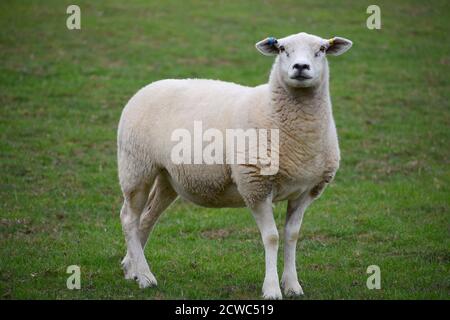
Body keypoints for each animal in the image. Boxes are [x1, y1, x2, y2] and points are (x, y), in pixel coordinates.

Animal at [118, 31, 354, 298]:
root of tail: (146, 88)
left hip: (168, 177)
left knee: (146, 218)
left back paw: (132, 269)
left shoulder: (306, 191)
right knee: (129, 218)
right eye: (282, 48)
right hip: (136, 166)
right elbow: (272, 237)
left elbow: (291, 235)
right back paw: (145, 277)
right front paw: (272, 288)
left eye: (322, 49)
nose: (301, 67)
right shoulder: (255, 185)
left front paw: (293, 285)